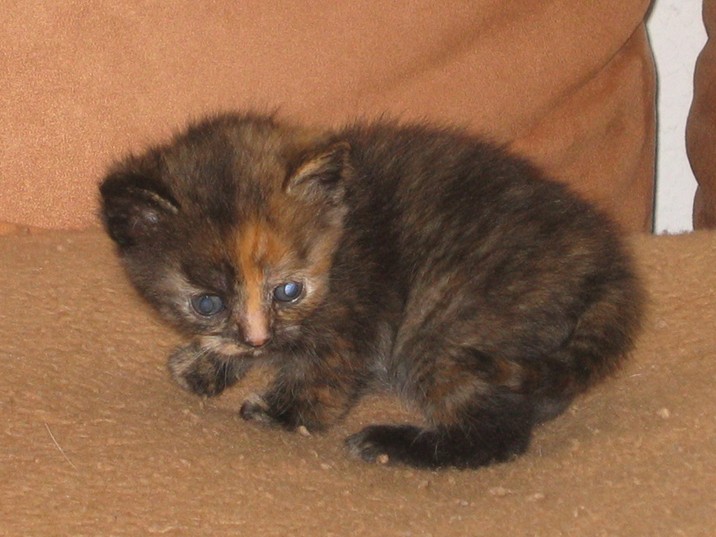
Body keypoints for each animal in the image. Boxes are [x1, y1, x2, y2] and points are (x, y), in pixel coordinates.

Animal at [99, 112, 644, 468]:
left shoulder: (357, 310)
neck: (342, 229)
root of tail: (608, 260)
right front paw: (206, 362)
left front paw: (281, 411)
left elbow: (326, 371)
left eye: (289, 291)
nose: (257, 338)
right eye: (207, 302)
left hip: (446, 322)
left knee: (499, 432)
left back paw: (387, 444)